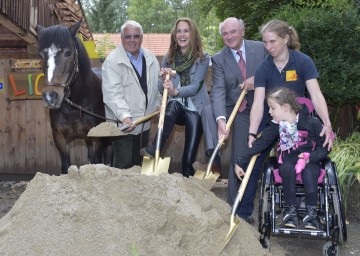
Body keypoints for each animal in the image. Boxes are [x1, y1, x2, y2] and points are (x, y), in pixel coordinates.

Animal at [36, 21, 111, 174]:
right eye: (41, 55)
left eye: (68, 53)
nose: (50, 97)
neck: (75, 106)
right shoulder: (60, 140)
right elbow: (66, 167)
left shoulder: (98, 140)